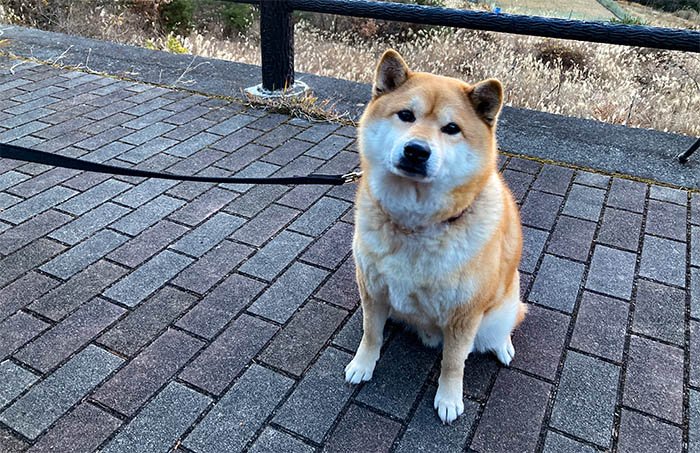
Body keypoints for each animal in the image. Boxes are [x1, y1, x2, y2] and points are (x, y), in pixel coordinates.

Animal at [344, 50, 524, 424]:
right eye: (406, 115)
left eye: (451, 129)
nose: (416, 150)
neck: (416, 224)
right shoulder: (372, 289)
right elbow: (371, 333)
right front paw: (363, 364)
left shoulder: (464, 315)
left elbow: (454, 363)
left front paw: (449, 398)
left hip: (500, 309)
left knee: (505, 326)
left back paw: (503, 346)